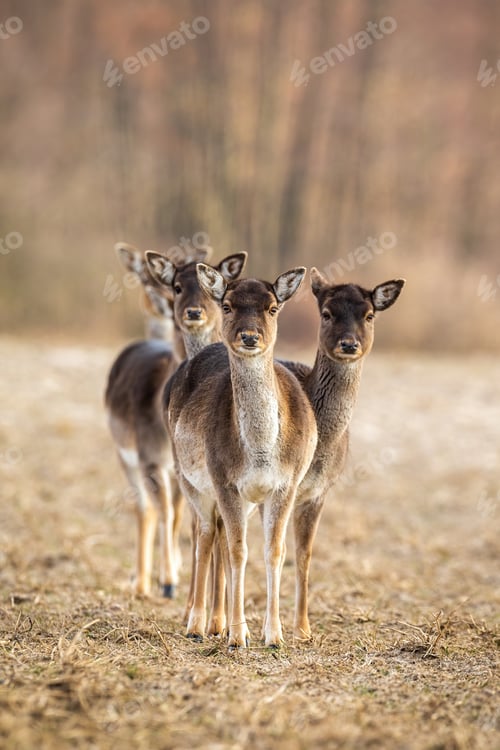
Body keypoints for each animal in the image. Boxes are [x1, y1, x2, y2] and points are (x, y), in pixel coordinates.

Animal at [105, 246, 247, 604]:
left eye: (210, 289)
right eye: (178, 285)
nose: (191, 312)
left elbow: (183, 516)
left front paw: (178, 576)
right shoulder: (149, 458)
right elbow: (166, 512)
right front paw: (167, 582)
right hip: (124, 454)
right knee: (145, 509)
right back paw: (142, 581)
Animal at [164, 265, 318, 648]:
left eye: (273, 307)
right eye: (228, 305)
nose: (249, 337)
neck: (261, 452)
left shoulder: (286, 484)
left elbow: (273, 551)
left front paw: (273, 635)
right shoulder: (224, 481)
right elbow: (237, 551)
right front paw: (236, 636)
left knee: (218, 534)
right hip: (189, 480)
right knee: (204, 535)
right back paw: (197, 625)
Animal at [280, 270, 405, 640]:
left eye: (369, 315)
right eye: (326, 313)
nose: (349, 344)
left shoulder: (319, 492)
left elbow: (304, 554)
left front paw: (303, 629)